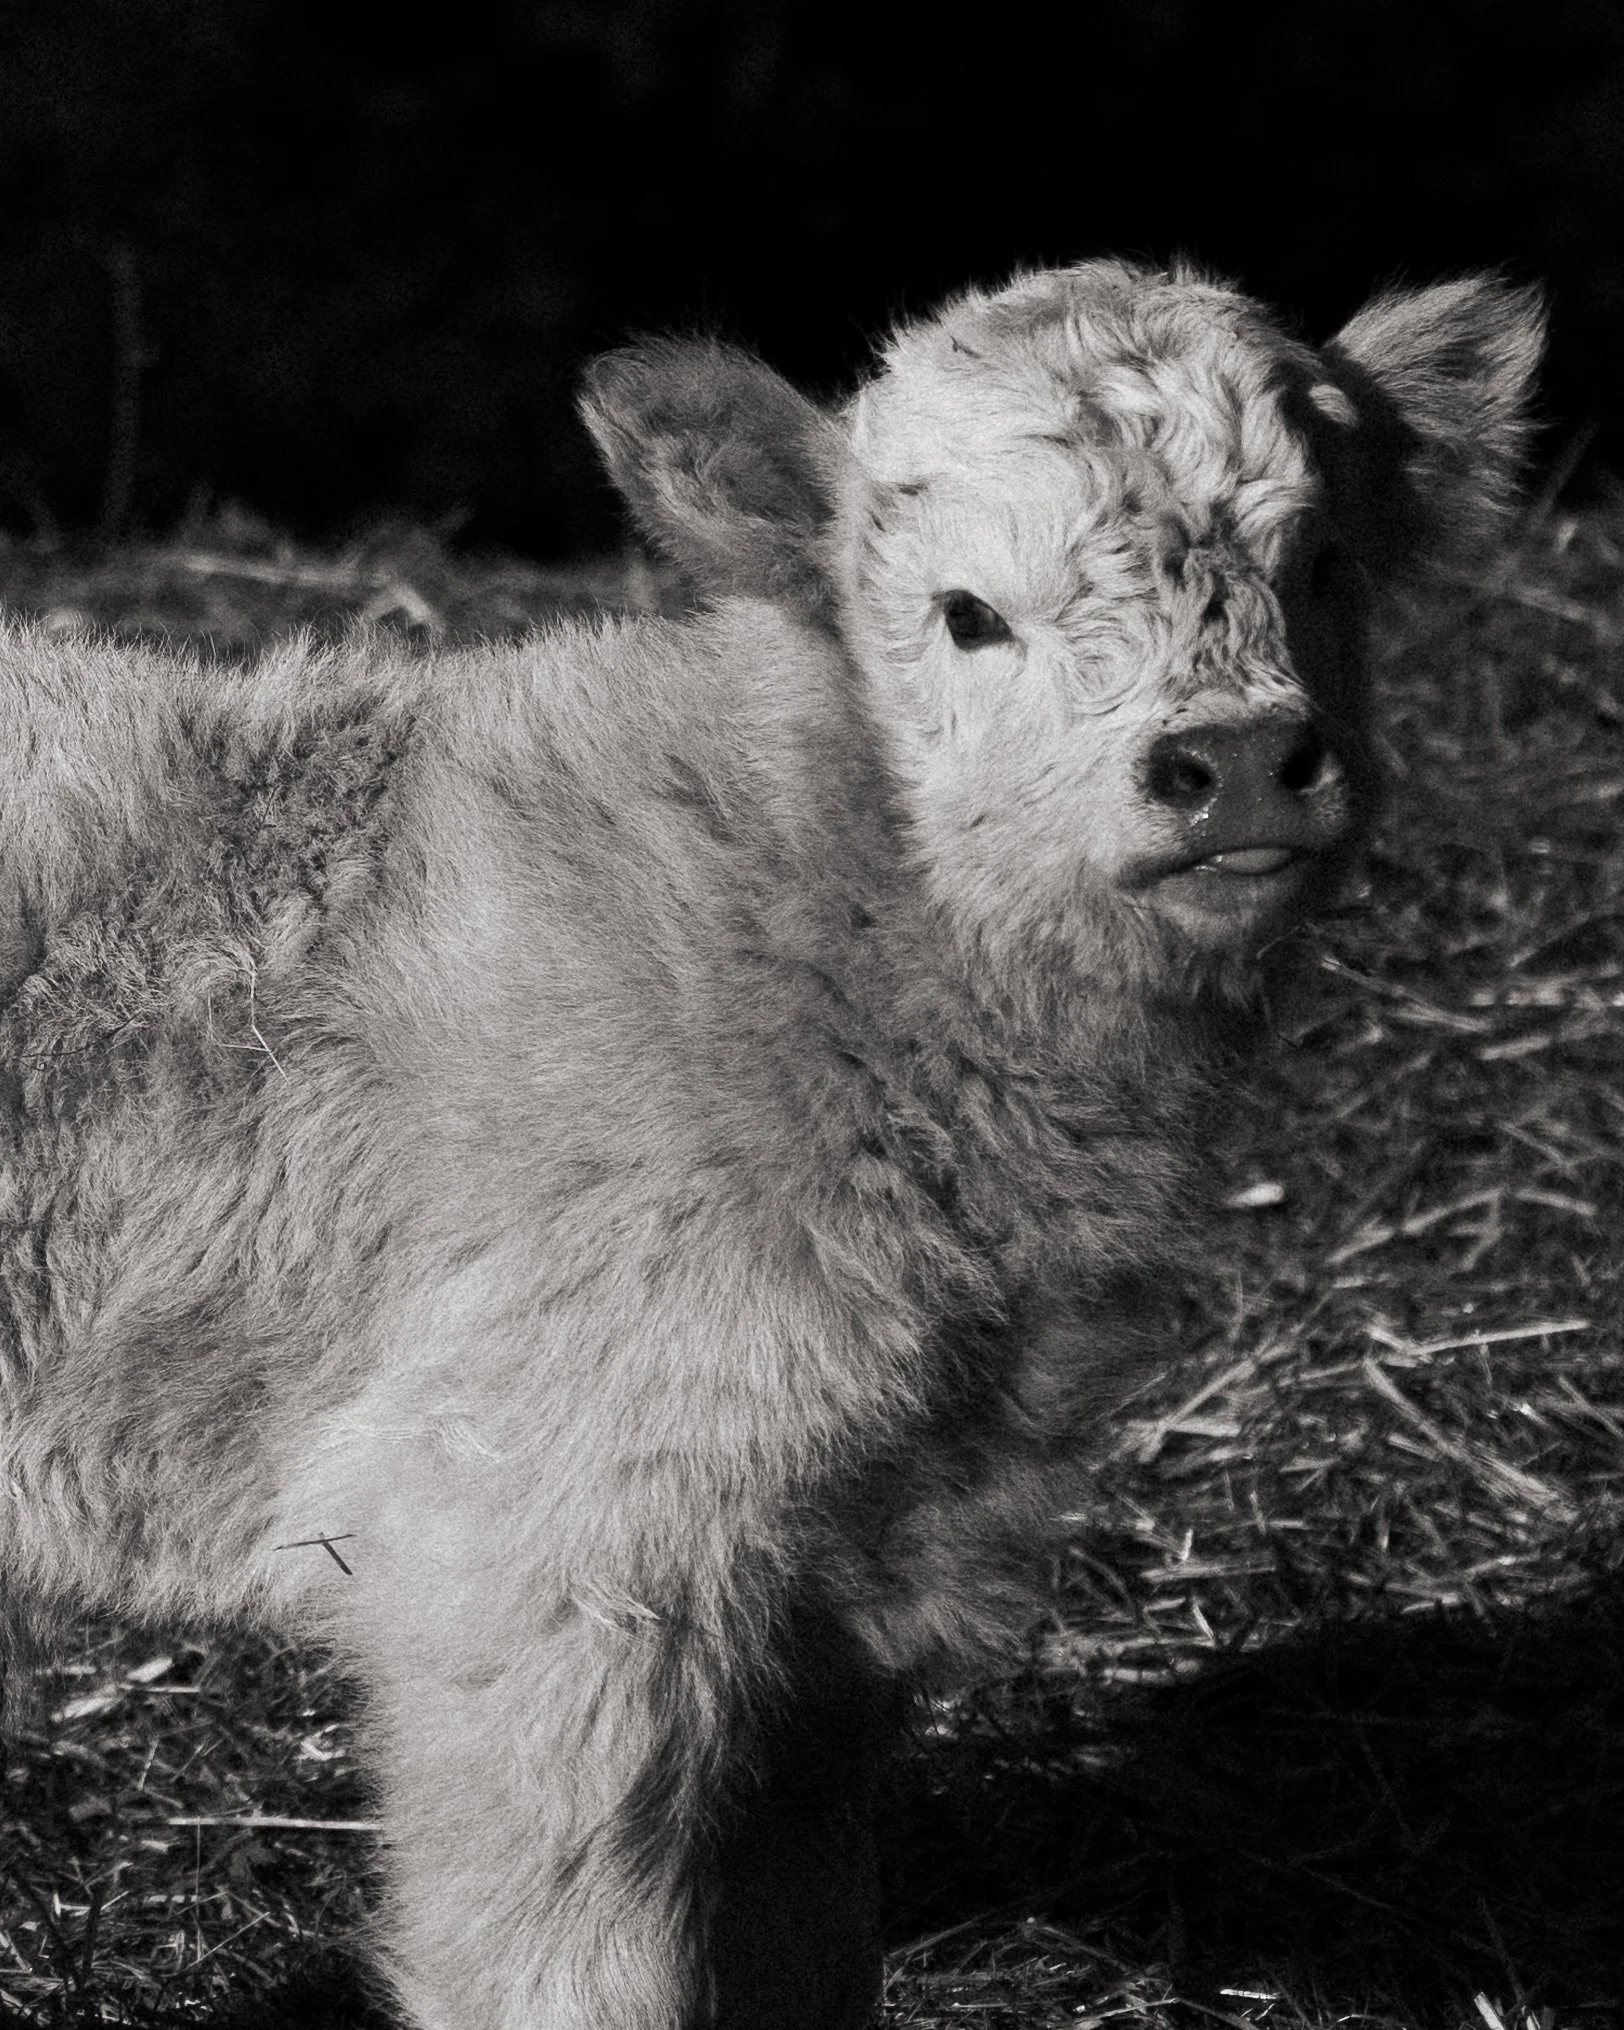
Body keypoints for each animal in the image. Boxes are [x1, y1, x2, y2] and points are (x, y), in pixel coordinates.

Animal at [0, 259, 1541, 2027]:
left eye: (1326, 562)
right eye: (965, 613)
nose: (1234, 764)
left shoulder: (830, 1603)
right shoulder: (535, 1550)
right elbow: (563, 1967)